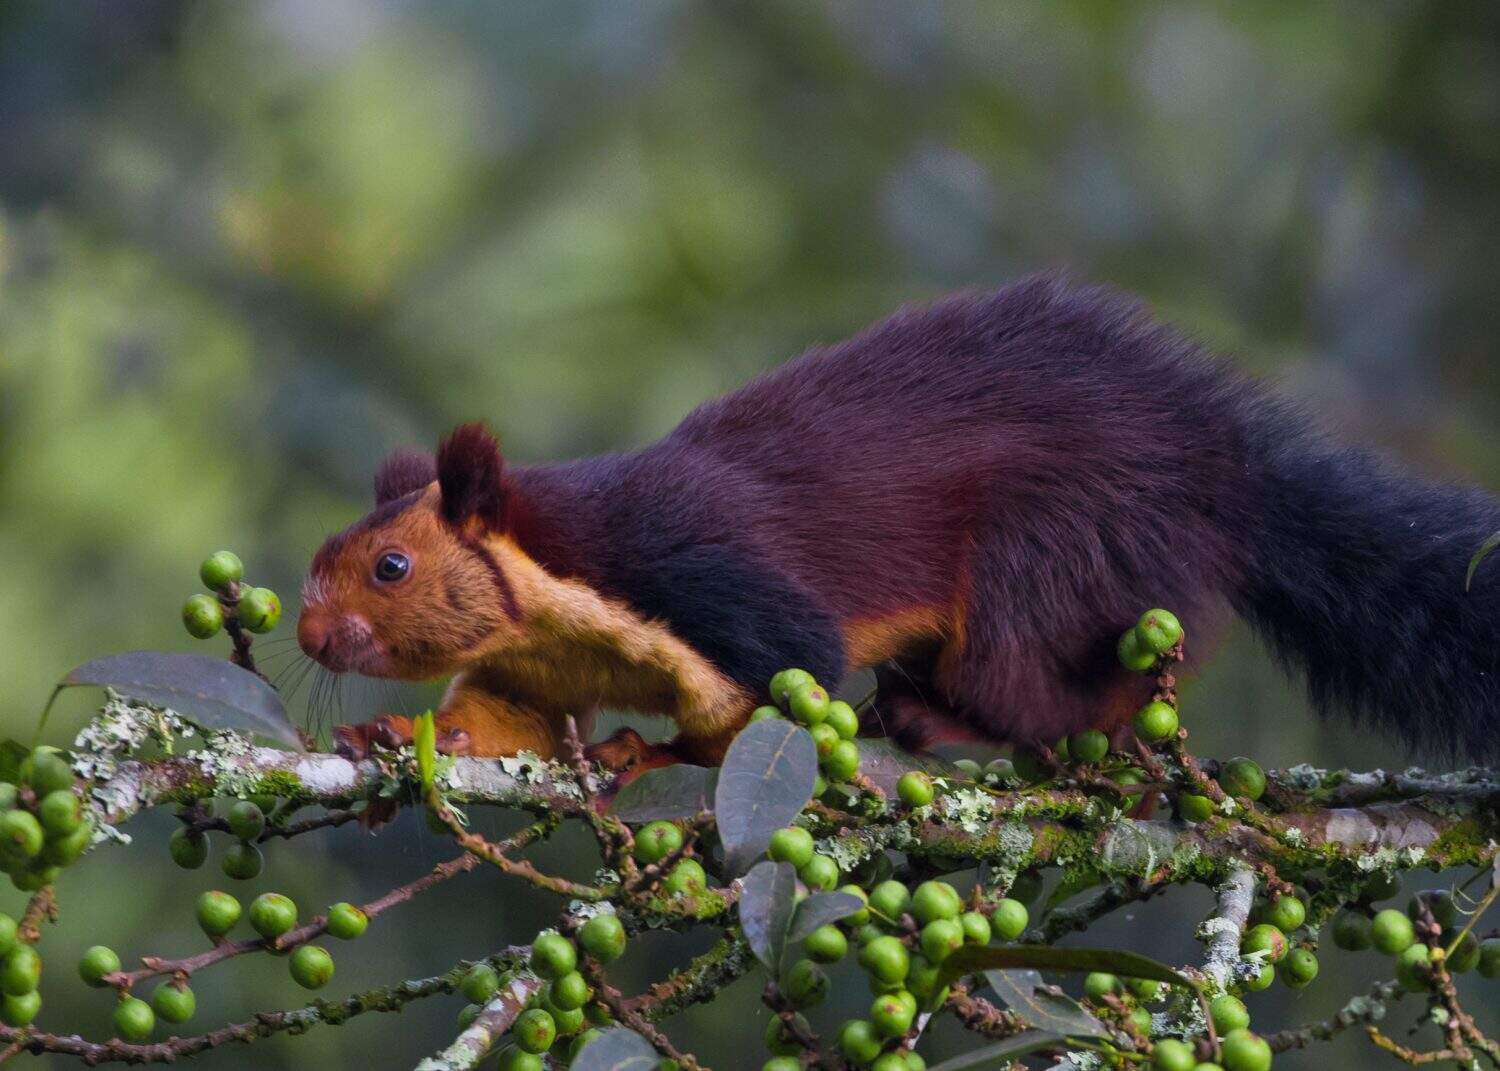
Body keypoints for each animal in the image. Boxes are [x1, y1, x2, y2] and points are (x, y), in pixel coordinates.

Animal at [297, 275, 1500, 769]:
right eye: (322, 558)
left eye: (391, 567)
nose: (308, 637)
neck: (565, 576)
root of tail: (1223, 468)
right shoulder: (536, 664)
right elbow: (504, 723)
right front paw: (389, 735)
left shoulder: (704, 579)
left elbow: (785, 676)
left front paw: (651, 753)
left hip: (1062, 550)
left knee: (1055, 680)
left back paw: (964, 718)